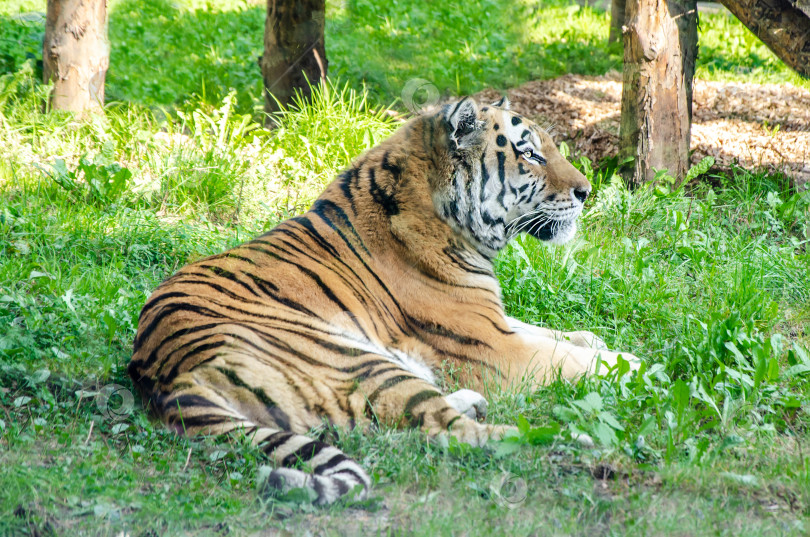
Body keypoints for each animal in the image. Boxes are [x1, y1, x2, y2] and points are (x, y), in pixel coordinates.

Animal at [129, 95, 636, 502]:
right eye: (530, 154)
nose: (587, 192)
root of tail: (167, 376)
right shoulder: (492, 348)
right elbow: (573, 360)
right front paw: (639, 364)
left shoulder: (496, 322)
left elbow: (559, 335)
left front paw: (600, 342)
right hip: (357, 360)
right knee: (451, 432)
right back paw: (578, 439)